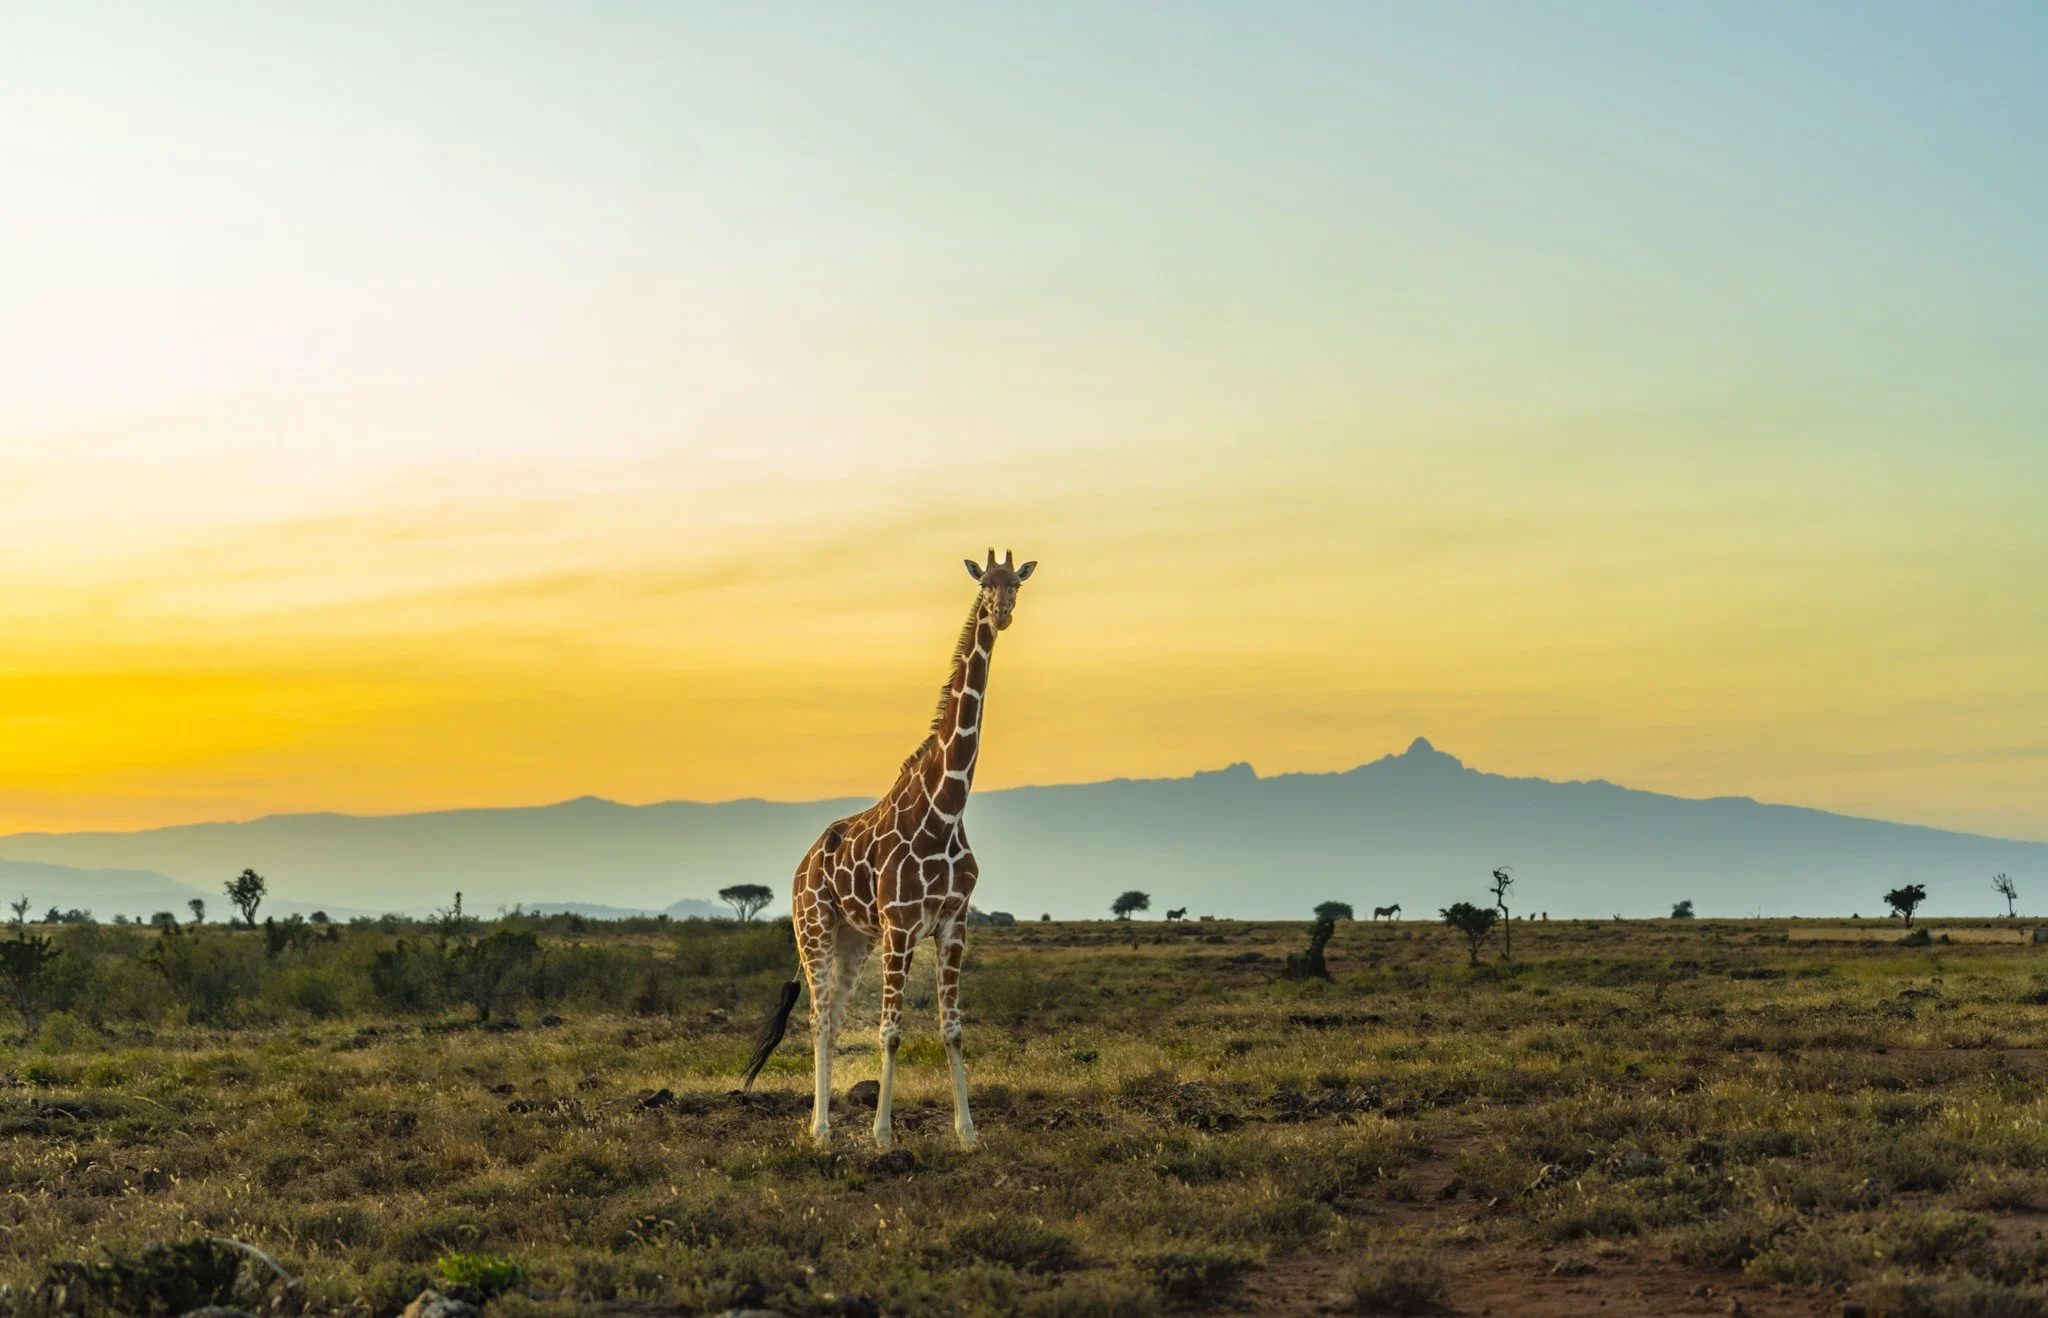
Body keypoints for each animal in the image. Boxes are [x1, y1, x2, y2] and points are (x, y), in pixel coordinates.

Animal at [742, 549, 1037, 1150]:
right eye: (984, 584)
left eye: (1017, 584)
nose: (1002, 615)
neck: (946, 810)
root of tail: (802, 865)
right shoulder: (900, 925)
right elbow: (891, 1031)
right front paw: (882, 1134)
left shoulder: (952, 923)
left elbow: (951, 1028)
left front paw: (968, 1132)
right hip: (814, 928)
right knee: (819, 1017)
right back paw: (820, 1129)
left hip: (854, 939)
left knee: (833, 1021)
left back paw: (826, 1122)